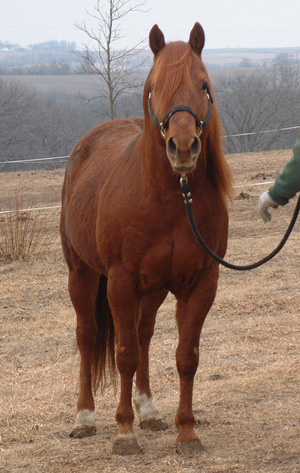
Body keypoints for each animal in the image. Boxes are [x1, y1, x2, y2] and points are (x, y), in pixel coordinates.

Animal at [60, 23, 232, 454]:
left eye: (203, 85)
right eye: (154, 87)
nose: (182, 147)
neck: (170, 200)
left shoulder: (201, 282)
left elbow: (186, 356)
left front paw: (186, 432)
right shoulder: (120, 282)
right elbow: (124, 354)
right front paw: (124, 433)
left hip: (152, 288)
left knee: (144, 334)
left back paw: (150, 411)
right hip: (82, 274)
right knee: (88, 336)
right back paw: (85, 417)